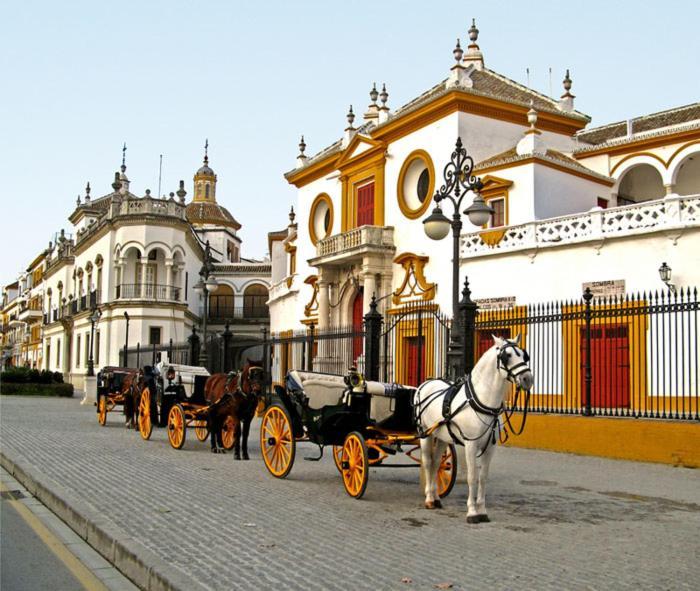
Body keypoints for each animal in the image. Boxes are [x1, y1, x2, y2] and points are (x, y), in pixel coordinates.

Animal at [412, 336, 532, 524]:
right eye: (507, 356)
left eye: (524, 355)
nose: (528, 378)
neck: (483, 401)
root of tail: (427, 382)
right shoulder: (470, 444)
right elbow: (472, 477)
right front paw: (472, 511)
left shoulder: (490, 447)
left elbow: (483, 477)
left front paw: (482, 510)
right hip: (425, 433)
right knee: (428, 462)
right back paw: (429, 498)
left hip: (442, 437)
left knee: (437, 463)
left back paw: (436, 497)